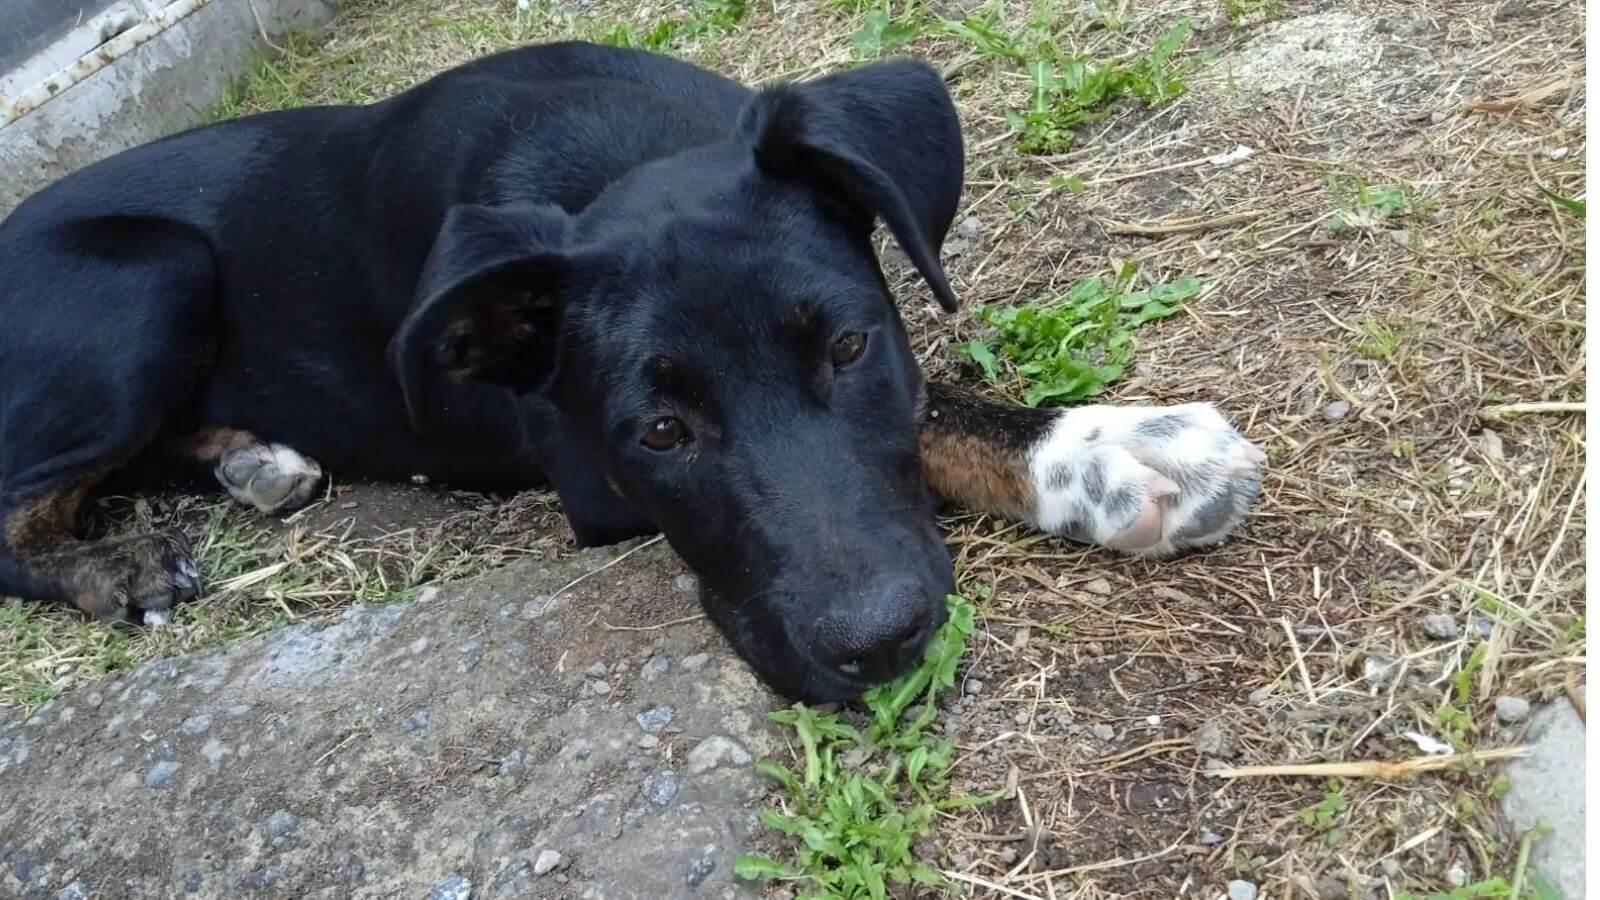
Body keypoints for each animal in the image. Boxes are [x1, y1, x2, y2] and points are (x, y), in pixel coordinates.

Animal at [0, 42, 1260, 701]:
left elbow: (929, 406)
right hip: (155, 276)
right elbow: (936, 417)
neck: (615, 156)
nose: (882, 647)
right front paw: (1113, 457)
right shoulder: (590, 482)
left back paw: (250, 460)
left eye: (850, 348)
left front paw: (1104, 443)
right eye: (656, 434)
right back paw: (115, 567)